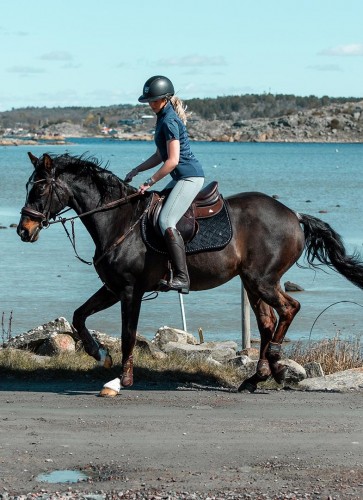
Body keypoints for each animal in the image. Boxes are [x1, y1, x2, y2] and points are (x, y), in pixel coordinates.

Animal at [17, 150, 363, 396]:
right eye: (28, 187)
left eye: (41, 188)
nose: (23, 230)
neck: (118, 219)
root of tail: (294, 215)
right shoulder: (113, 288)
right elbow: (79, 316)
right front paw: (99, 353)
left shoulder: (130, 289)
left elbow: (128, 333)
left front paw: (121, 380)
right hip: (253, 281)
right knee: (267, 322)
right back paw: (259, 376)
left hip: (262, 280)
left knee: (290, 308)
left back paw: (275, 362)